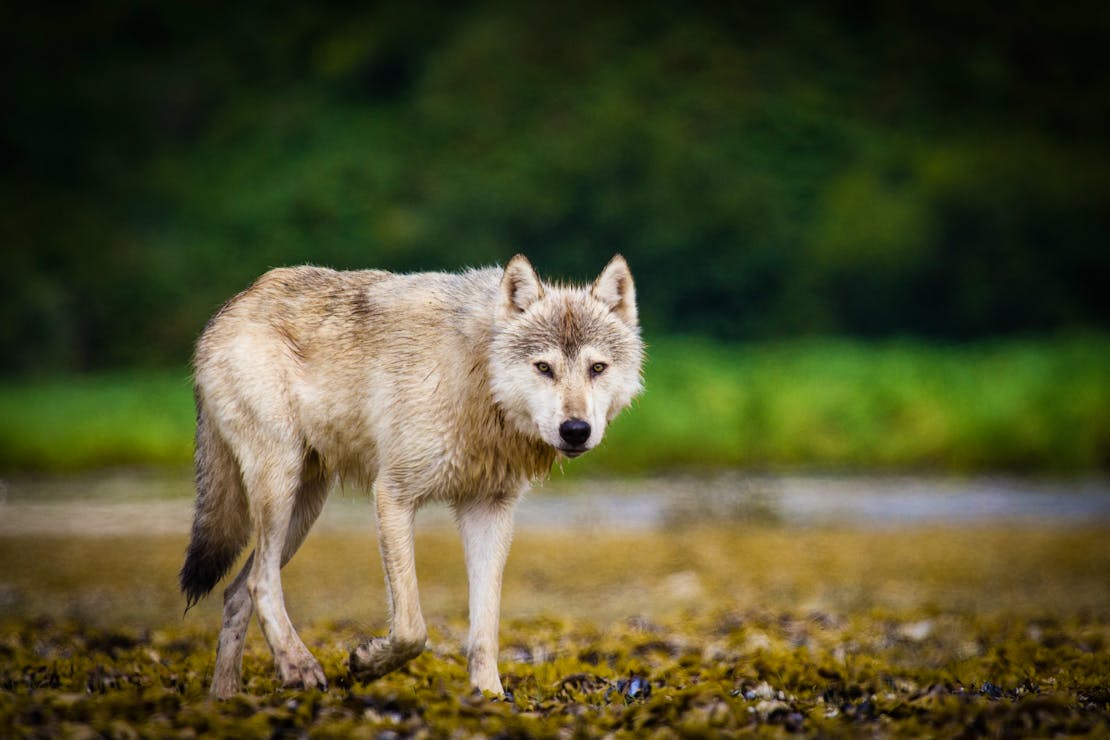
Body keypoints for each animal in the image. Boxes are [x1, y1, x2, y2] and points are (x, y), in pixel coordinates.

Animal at [180, 254, 643, 698]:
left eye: (597, 368)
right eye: (544, 368)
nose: (576, 430)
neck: (477, 378)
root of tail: (231, 306)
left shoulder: (489, 510)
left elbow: (485, 629)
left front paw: (490, 694)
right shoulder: (393, 495)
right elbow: (411, 629)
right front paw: (366, 663)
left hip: (304, 509)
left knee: (236, 592)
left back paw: (226, 698)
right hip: (280, 489)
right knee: (260, 582)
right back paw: (299, 666)